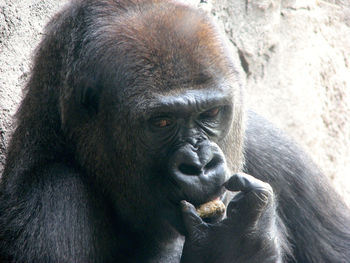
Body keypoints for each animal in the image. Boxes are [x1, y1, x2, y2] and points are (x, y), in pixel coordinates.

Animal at [0, 0, 350, 262]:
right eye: (162, 122)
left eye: (210, 113)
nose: (200, 165)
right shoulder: (52, 198)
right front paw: (235, 245)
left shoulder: (270, 144)